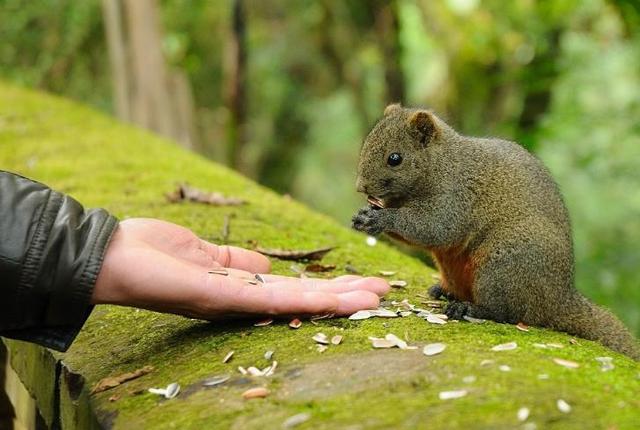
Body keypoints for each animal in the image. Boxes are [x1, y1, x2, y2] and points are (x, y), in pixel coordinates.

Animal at [352, 104, 640, 360]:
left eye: (395, 158)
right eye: (367, 143)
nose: (360, 187)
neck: (442, 163)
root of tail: (558, 298)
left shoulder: (455, 197)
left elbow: (434, 229)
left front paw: (381, 219)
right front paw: (364, 215)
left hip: (502, 265)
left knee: (507, 313)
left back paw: (468, 308)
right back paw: (444, 291)